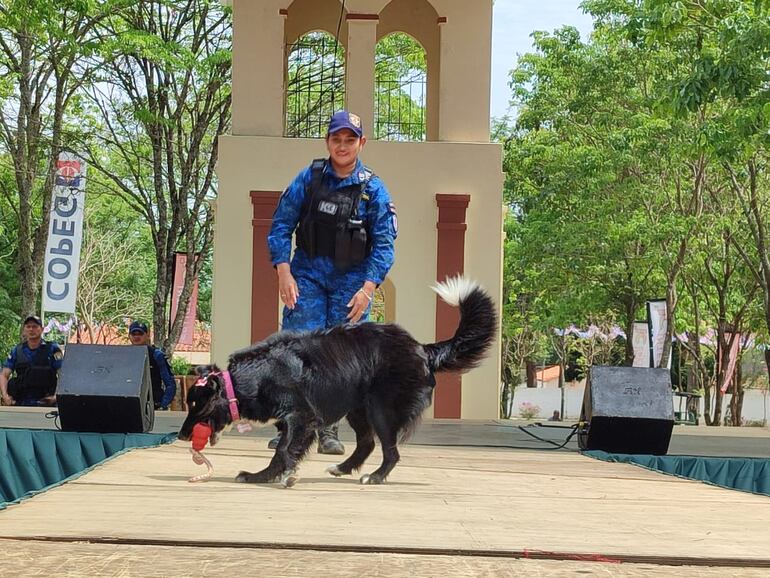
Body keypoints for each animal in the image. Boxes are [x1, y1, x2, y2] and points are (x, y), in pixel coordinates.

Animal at [178, 276, 496, 484]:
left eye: (197, 407)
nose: (181, 436)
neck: (256, 375)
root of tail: (422, 348)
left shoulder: (302, 416)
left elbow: (284, 449)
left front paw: (268, 476)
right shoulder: (295, 421)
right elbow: (287, 448)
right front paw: (277, 474)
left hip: (381, 409)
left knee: (390, 451)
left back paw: (375, 477)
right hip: (358, 408)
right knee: (367, 443)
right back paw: (342, 469)